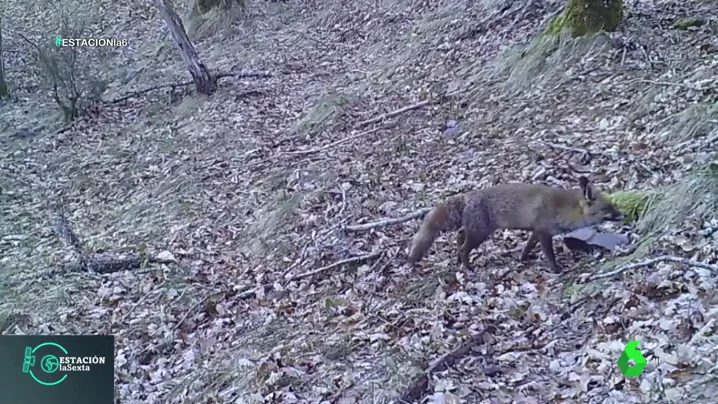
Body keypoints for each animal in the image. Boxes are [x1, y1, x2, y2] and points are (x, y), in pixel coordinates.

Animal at [408, 178, 628, 274]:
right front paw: (556, 270)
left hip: (473, 231)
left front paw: (523, 259)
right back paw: (469, 267)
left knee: (459, 238)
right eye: (608, 208)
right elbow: (549, 255)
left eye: (613, 205)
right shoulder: (543, 232)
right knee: (463, 247)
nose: (623, 214)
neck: (562, 209)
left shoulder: (536, 231)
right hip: (480, 234)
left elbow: (528, 247)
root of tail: (468, 195)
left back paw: (458, 262)